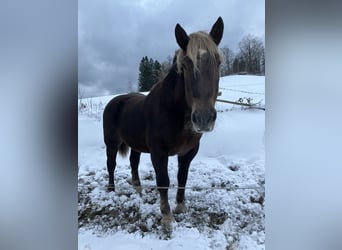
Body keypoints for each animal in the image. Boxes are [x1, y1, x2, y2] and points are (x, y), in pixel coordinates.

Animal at [101, 17, 224, 225]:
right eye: (186, 66)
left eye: (218, 62)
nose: (204, 118)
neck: (175, 112)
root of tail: (114, 101)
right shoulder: (158, 152)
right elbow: (163, 181)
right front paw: (167, 216)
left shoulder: (189, 152)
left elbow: (182, 177)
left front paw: (181, 206)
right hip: (111, 142)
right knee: (111, 164)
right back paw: (111, 190)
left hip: (135, 143)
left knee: (134, 163)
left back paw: (138, 189)